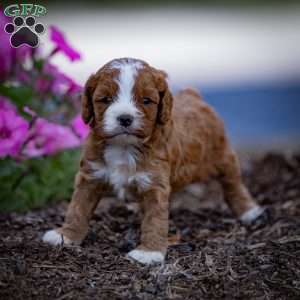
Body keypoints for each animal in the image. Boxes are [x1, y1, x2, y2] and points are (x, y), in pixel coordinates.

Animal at [42, 57, 264, 264]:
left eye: (147, 100)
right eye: (105, 99)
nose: (125, 118)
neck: (124, 146)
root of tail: (193, 94)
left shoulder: (154, 183)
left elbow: (154, 218)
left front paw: (148, 253)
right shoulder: (90, 175)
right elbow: (77, 208)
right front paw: (65, 235)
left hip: (222, 155)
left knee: (232, 182)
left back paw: (249, 210)